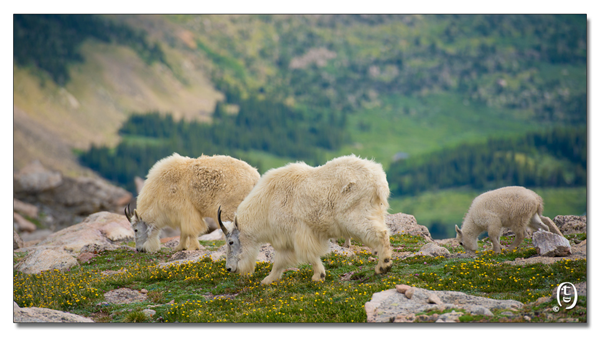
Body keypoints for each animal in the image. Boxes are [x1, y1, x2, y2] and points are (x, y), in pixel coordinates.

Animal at [125, 152, 258, 251]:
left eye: (135, 229)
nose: (139, 249)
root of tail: (254, 177)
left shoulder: (185, 209)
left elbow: (190, 229)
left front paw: (192, 248)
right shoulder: (181, 214)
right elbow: (183, 231)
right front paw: (179, 248)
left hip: (230, 208)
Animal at [216, 154, 394, 284]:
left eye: (230, 242)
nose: (229, 269)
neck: (267, 204)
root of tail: (378, 180)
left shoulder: (298, 233)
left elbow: (308, 254)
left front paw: (318, 276)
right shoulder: (286, 239)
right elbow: (279, 261)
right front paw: (268, 280)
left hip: (356, 215)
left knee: (381, 233)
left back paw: (383, 265)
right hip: (375, 212)